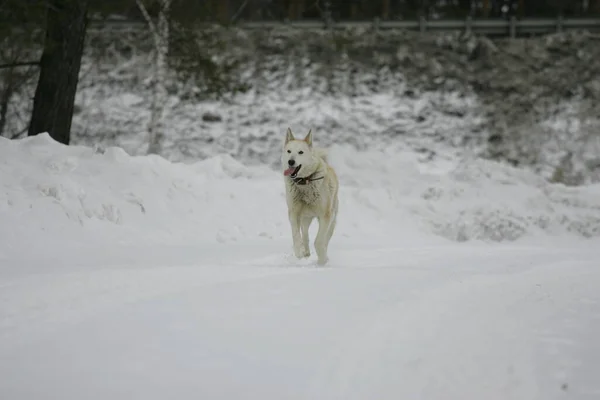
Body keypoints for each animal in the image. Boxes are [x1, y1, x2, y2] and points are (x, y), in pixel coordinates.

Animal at [282, 128, 338, 266]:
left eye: (300, 152)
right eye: (289, 151)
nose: (291, 161)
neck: (304, 182)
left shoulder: (325, 216)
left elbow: (319, 241)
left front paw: (322, 261)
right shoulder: (293, 213)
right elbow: (296, 236)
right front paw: (299, 252)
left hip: (332, 219)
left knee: (326, 238)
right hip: (305, 218)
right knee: (305, 234)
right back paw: (306, 252)